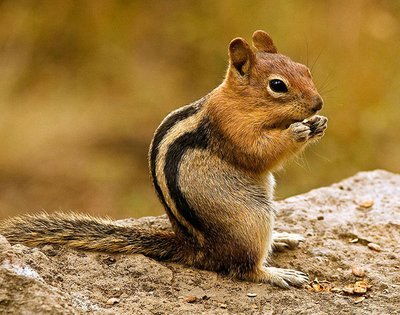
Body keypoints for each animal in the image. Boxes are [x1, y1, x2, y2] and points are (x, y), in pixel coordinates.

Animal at [0, 31, 328, 288]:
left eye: (305, 70)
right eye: (278, 86)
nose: (318, 103)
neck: (239, 102)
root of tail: (199, 250)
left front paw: (319, 123)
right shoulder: (232, 129)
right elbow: (259, 154)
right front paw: (299, 130)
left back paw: (282, 237)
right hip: (253, 219)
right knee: (243, 268)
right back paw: (277, 274)